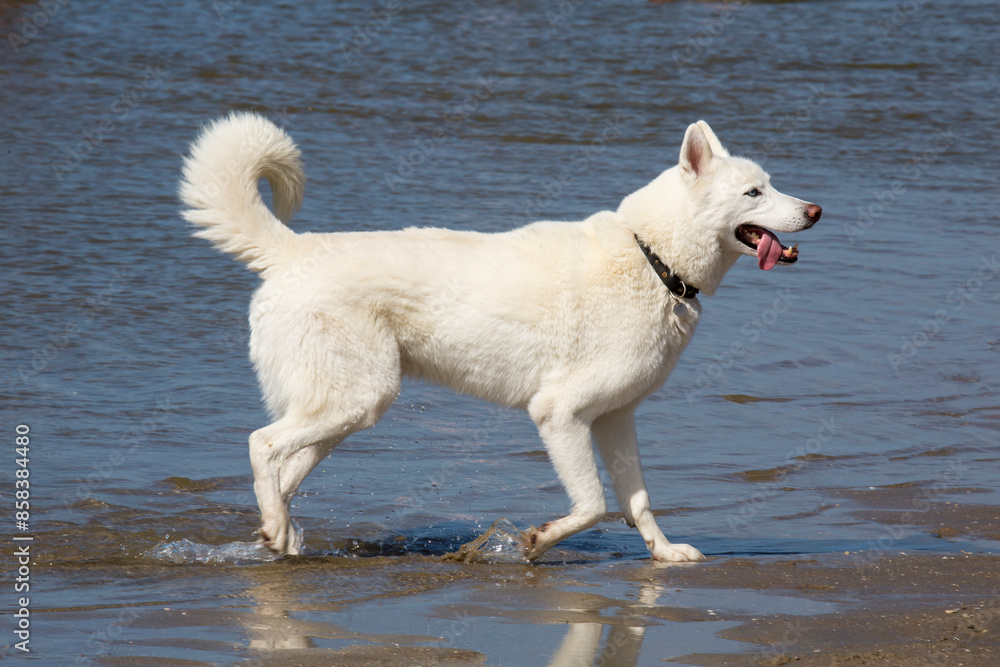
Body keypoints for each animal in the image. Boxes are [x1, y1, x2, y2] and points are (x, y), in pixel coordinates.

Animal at [180, 115, 820, 564]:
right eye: (754, 193)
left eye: (770, 186)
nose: (815, 211)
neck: (652, 257)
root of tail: (292, 251)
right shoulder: (559, 414)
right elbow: (593, 504)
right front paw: (537, 542)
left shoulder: (616, 419)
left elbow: (636, 501)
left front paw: (664, 554)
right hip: (355, 398)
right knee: (261, 444)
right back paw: (277, 532)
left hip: (347, 409)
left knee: (282, 474)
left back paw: (280, 536)